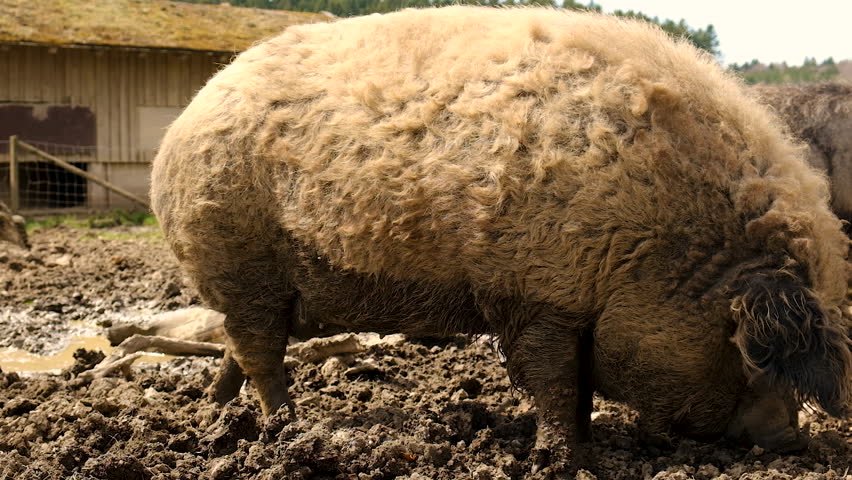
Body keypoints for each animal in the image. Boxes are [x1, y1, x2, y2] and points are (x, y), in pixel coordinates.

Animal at [150, 6, 852, 473]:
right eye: (749, 354)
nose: (792, 441)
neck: (650, 239)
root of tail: (186, 119)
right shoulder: (534, 295)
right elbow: (553, 379)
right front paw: (561, 460)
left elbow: (576, 384)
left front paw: (586, 444)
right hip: (240, 261)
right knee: (262, 353)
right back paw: (281, 432)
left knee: (237, 349)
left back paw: (215, 420)